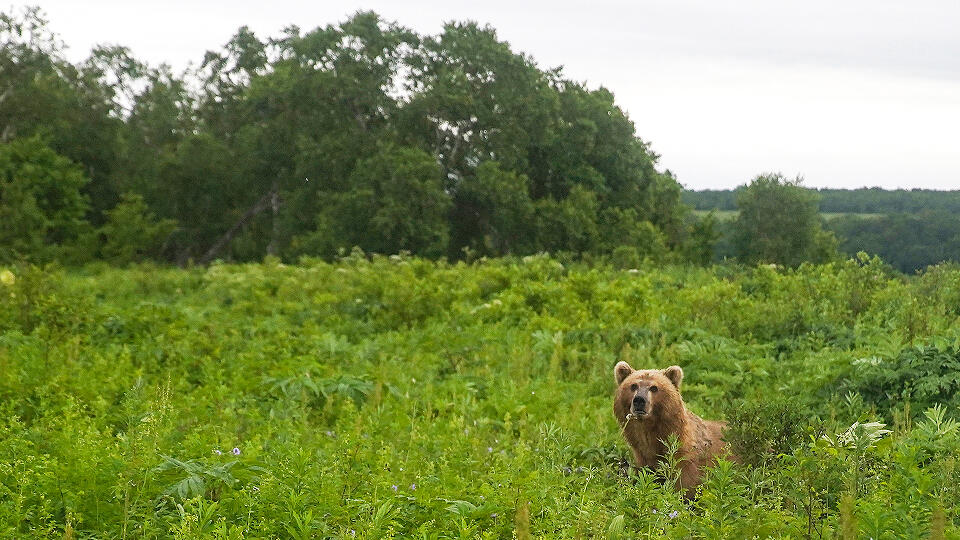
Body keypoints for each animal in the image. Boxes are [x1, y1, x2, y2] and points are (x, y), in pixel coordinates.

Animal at [616, 362, 728, 494]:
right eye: (633, 386)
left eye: (654, 388)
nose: (639, 400)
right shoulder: (642, 457)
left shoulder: (687, 460)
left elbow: (685, 485)